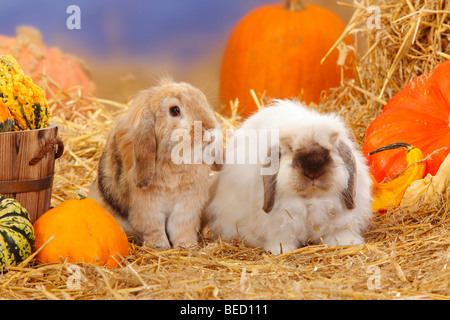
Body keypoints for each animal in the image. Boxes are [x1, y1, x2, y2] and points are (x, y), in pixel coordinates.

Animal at [88, 78, 220, 250]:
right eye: (174, 110)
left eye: (203, 100)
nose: (210, 128)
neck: (175, 163)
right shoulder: (147, 205)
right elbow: (153, 226)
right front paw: (159, 246)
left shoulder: (187, 203)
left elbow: (181, 227)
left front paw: (186, 246)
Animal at [204, 100, 372, 255]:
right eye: (291, 150)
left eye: (330, 149)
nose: (313, 172)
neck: (311, 199)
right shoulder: (281, 224)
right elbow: (281, 239)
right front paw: (280, 250)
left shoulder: (341, 219)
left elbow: (340, 232)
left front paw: (348, 243)